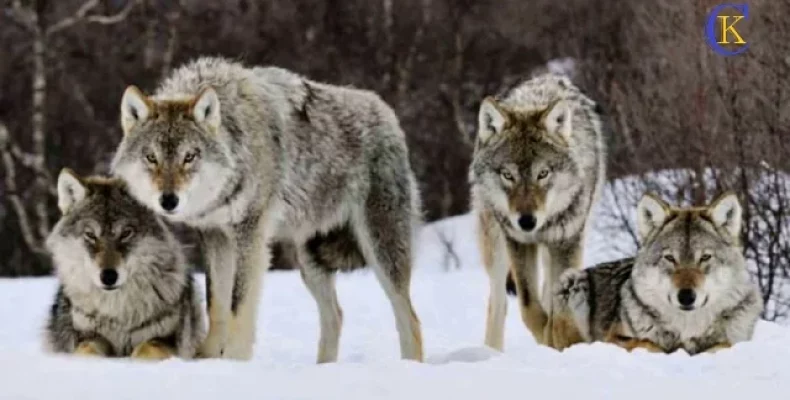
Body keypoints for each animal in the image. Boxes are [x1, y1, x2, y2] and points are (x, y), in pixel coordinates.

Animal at [43, 169, 206, 360]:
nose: (108, 276)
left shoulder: (165, 340)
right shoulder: (88, 337)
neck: (117, 312)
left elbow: (146, 349)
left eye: (126, 233)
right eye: (90, 235)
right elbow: (87, 351)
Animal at [111, 57, 426, 362]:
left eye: (189, 157)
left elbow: (238, 304)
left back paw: (409, 366)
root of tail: (387, 113)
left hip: (380, 251)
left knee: (409, 318)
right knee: (336, 316)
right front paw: (208, 358)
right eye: (151, 157)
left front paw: (234, 360)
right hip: (310, 262)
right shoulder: (214, 235)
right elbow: (216, 303)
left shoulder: (250, 233)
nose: (168, 201)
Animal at [470, 72, 608, 350]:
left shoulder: (567, 242)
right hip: (496, 246)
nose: (526, 221)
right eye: (508, 175)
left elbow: (556, 308)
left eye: (543, 174)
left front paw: (556, 340)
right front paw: (546, 336)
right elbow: (529, 307)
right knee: (498, 303)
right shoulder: (518, 243)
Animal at [544, 192, 768, 354]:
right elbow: (647, 343)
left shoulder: (734, 340)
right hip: (571, 281)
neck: (687, 329)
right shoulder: (614, 338)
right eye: (670, 258)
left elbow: (723, 345)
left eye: (705, 258)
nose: (686, 297)